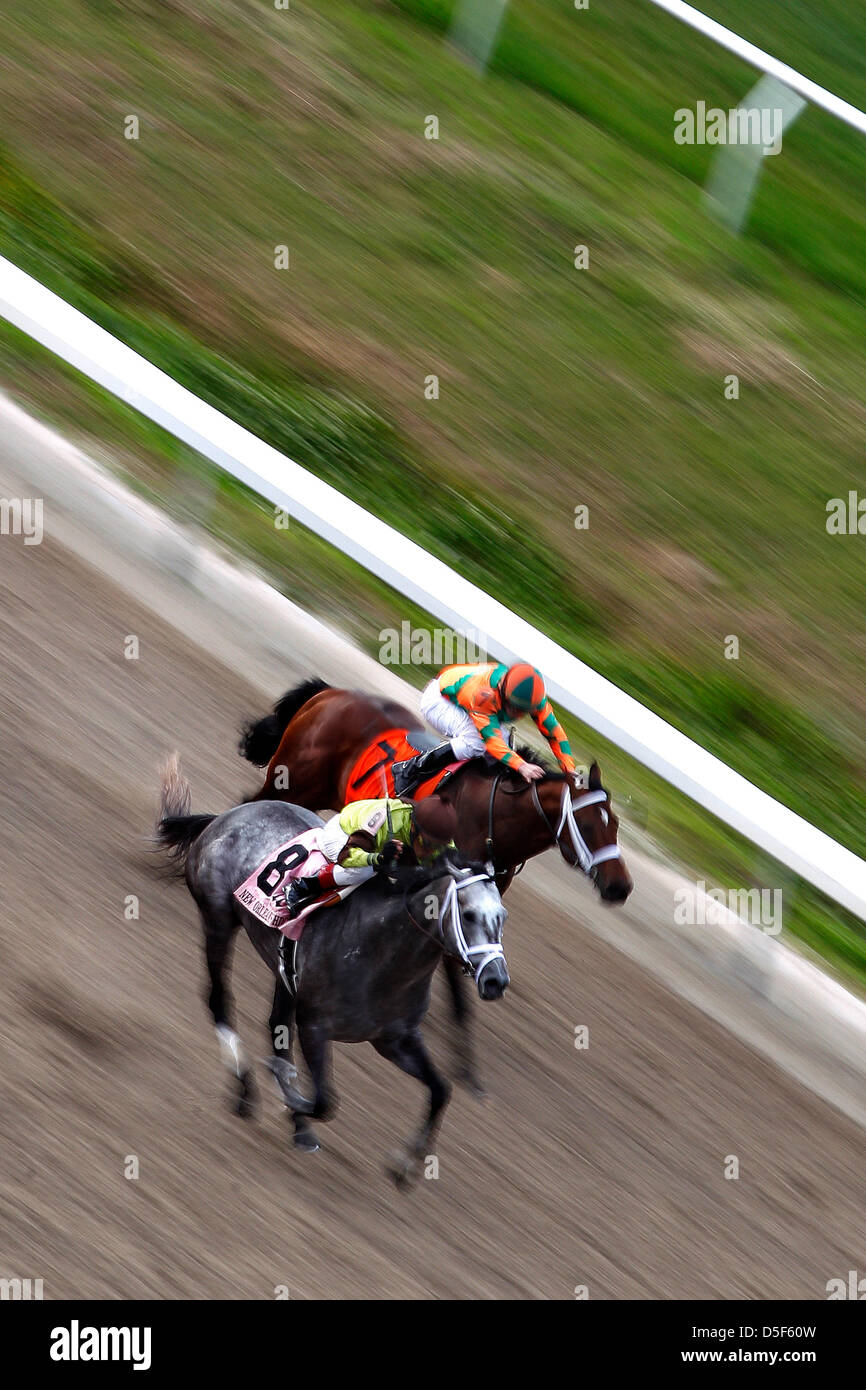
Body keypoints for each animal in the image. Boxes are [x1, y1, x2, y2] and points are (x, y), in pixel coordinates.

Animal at [155, 761, 508, 1184]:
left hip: (285, 973)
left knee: (275, 1027)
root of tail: (229, 815)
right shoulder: (316, 1026)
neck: (382, 959)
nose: (496, 981)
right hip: (218, 919)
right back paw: (245, 1088)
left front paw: (406, 1163)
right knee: (219, 999)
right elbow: (325, 1101)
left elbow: (441, 1090)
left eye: (502, 916)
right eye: (468, 914)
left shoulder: (396, 1039)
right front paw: (287, 1095)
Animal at [240, 678, 633, 1089]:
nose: (620, 887)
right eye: (588, 824)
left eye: (616, 825)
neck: (492, 816)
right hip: (291, 784)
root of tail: (329, 693)